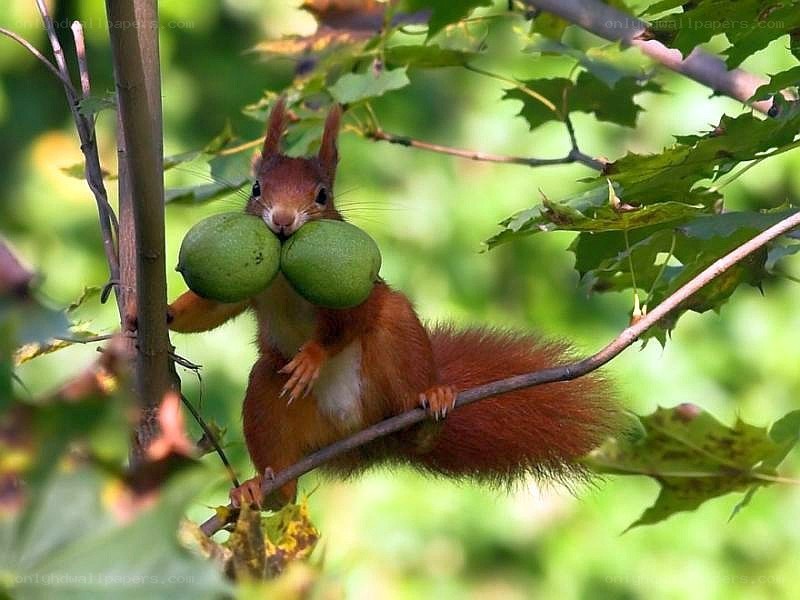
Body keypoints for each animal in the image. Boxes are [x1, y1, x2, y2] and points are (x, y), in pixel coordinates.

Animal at [167, 97, 621, 508]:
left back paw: (429, 409)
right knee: (284, 488)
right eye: (257, 188)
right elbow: (214, 307)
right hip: (267, 393)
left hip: (396, 353)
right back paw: (259, 489)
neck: (282, 270)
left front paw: (313, 356)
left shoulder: (356, 296)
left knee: (406, 394)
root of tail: (357, 435)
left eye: (322, 195)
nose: (282, 221)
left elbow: (347, 322)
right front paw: (164, 316)